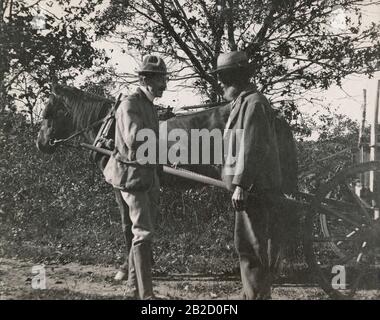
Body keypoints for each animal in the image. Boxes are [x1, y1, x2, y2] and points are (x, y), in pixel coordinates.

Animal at [36, 84, 296, 280]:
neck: (112, 127)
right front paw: (146, 263)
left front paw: (125, 269)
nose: (41, 143)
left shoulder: (121, 184)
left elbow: (127, 225)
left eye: (48, 113)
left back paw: (270, 268)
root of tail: (275, 118)